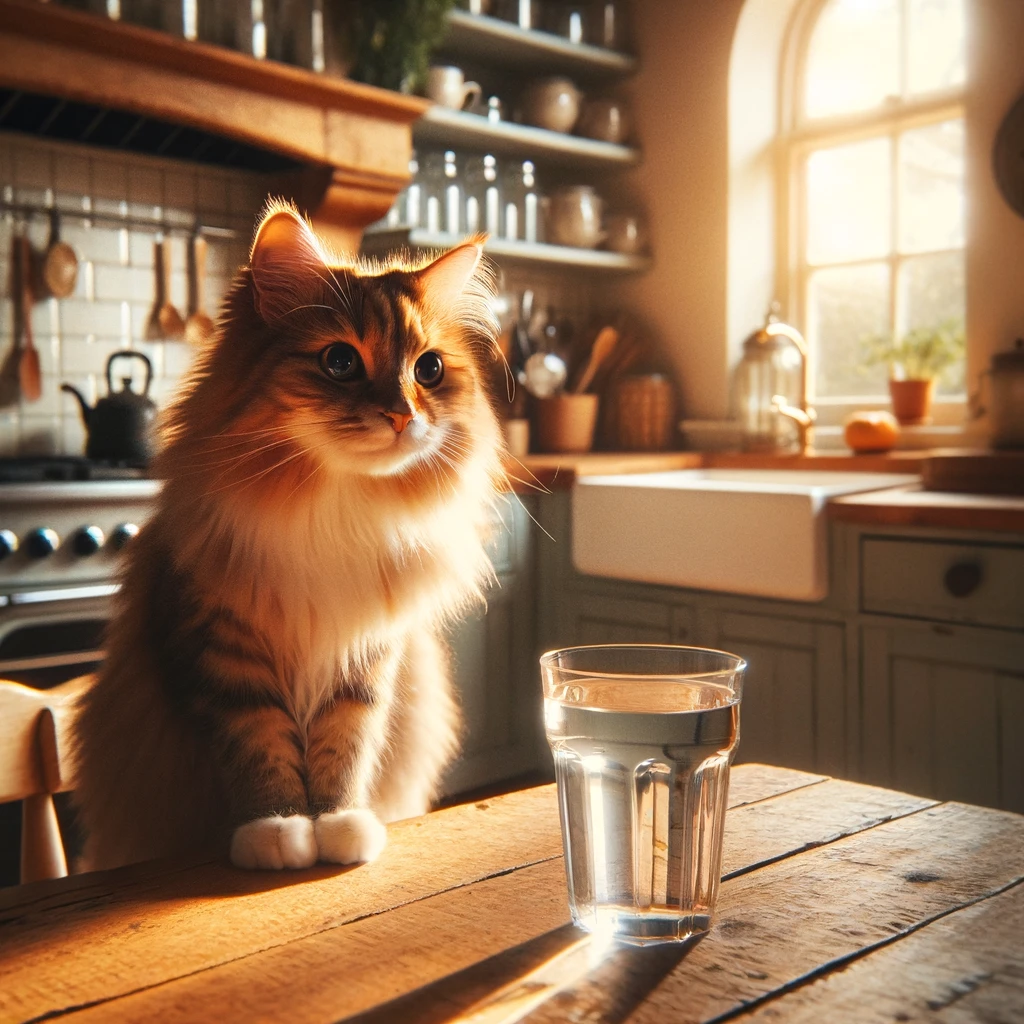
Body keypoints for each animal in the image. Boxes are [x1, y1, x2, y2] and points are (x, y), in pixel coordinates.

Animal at [71, 205, 503, 872]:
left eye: (428, 369)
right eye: (340, 362)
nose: (403, 415)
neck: (336, 509)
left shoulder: (365, 658)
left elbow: (345, 746)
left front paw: (340, 826)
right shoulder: (223, 652)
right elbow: (258, 746)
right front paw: (277, 831)